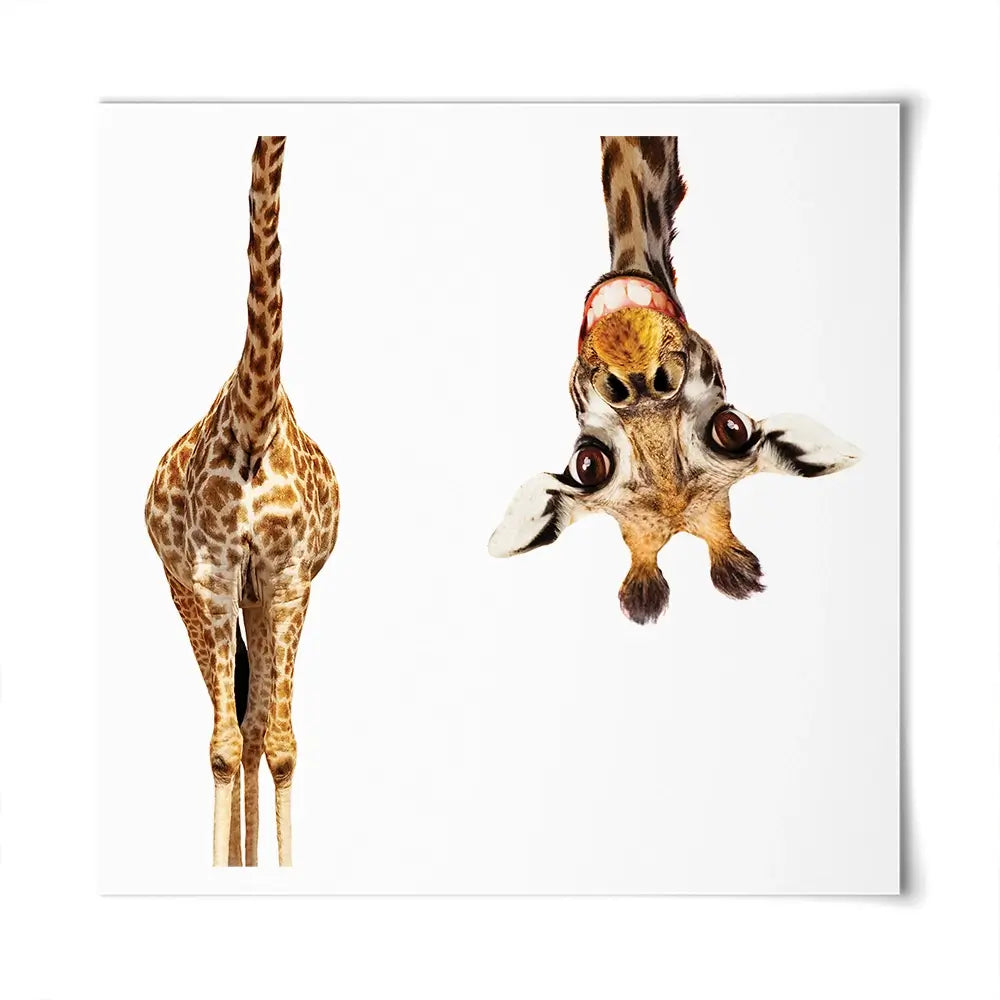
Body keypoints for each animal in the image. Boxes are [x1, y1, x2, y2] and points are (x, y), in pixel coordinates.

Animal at [145, 136, 339, 865]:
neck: (255, 420)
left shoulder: (287, 580)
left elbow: (278, 746)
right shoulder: (211, 578)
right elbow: (222, 748)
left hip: (258, 600)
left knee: (255, 727)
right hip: (188, 594)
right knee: (228, 724)